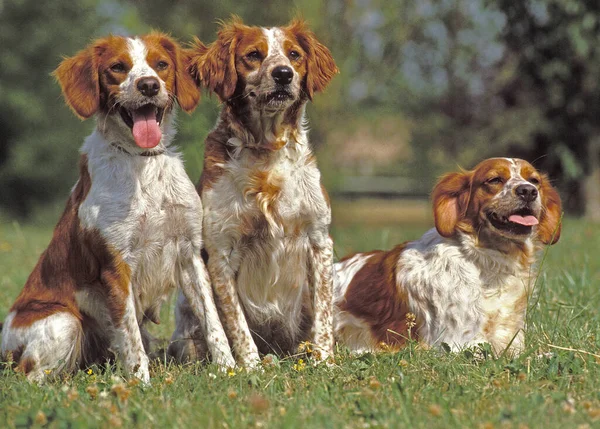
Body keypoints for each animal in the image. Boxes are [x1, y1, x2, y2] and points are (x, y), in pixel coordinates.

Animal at [0, 33, 234, 382]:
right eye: (117, 67)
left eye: (161, 64)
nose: (149, 85)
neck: (142, 161)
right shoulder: (116, 264)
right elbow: (130, 336)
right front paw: (141, 383)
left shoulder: (189, 252)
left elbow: (213, 321)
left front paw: (231, 370)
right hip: (64, 321)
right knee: (30, 377)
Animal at [169, 16, 338, 364]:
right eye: (253, 55)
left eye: (294, 54)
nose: (283, 74)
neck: (265, 153)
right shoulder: (220, 251)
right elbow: (235, 322)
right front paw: (249, 366)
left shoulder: (319, 239)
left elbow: (324, 315)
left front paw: (324, 360)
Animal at [332, 157, 564, 354]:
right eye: (495, 180)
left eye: (534, 180)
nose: (528, 191)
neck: (486, 262)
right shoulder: (457, 343)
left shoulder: (511, 340)